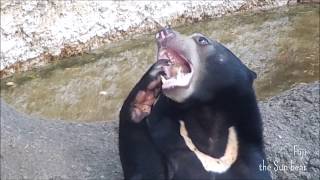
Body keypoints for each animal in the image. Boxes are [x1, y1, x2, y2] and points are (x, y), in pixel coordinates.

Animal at [119, 27, 272, 180]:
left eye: (202, 40)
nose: (163, 32)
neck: (204, 110)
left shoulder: (249, 158)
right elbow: (145, 169)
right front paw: (147, 89)